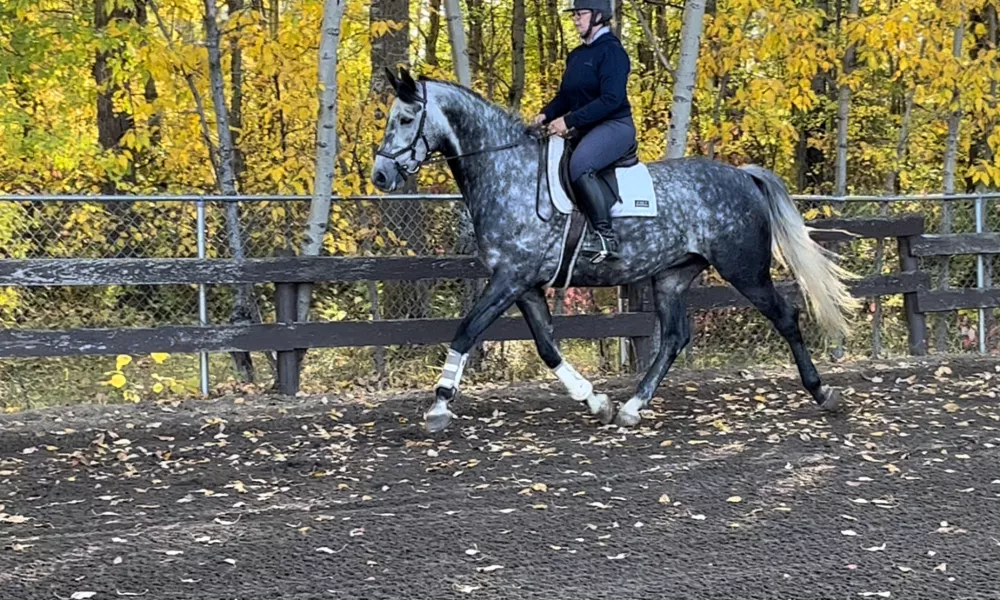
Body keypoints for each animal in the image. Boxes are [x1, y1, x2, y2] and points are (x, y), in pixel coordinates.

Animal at [372, 69, 856, 432]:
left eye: (407, 118)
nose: (380, 175)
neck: (509, 171)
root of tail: (743, 176)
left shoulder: (510, 278)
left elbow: (466, 331)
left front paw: (439, 405)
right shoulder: (524, 284)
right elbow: (546, 347)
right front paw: (596, 401)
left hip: (745, 270)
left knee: (785, 317)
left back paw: (822, 392)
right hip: (672, 276)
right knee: (674, 337)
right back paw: (631, 408)